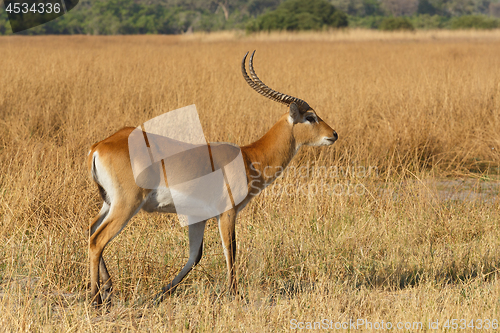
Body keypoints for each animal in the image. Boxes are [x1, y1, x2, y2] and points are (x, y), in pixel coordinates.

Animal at [88, 50, 338, 306]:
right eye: (310, 117)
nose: (334, 134)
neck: (249, 156)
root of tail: (100, 146)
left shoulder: (197, 216)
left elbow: (194, 256)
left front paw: (161, 293)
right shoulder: (227, 212)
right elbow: (231, 249)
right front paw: (234, 295)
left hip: (109, 203)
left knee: (91, 230)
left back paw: (107, 289)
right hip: (127, 204)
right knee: (98, 240)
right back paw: (96, 299)